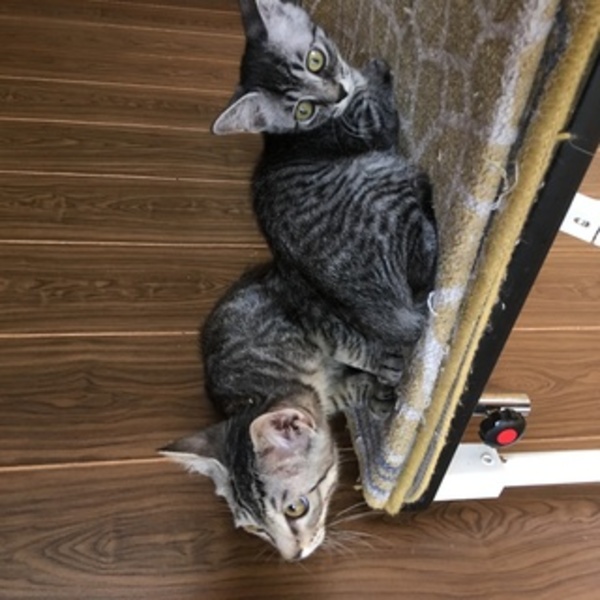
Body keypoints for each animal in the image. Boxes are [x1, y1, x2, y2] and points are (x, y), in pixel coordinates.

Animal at [161, 263, 388, 561]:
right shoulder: (322, 396)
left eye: (296, 508)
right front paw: (374, 391)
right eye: (253, 528)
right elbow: (351, 388)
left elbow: (367, 353)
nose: (293, 557)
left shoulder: (329, 330)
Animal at [212, 0, 438, 387]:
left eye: (316, 60)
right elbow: (379, 104)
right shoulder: (371, 125)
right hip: (384, 176)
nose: (339, 94)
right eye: (304, 109)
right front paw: (376, 72)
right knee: (427, 264)